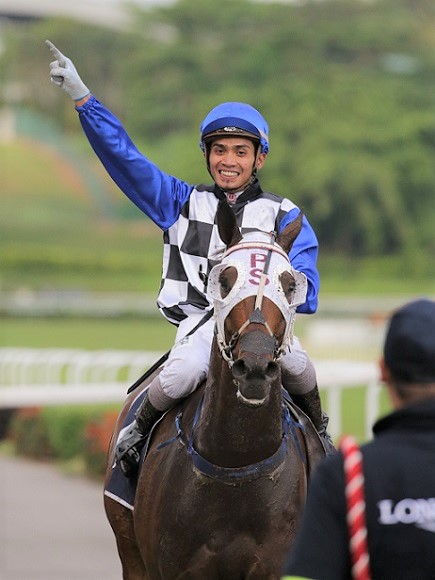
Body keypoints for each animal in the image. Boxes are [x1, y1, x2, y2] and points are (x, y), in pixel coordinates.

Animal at [104, 201, 328, 580]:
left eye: (289, 284)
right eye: (224, 280)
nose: (255, 365)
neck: (235, 463)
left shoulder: (270, 566)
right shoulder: (173, 567)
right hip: (129, 549)